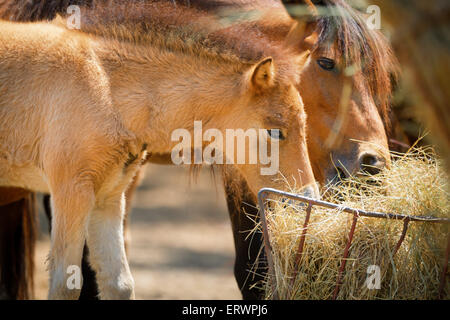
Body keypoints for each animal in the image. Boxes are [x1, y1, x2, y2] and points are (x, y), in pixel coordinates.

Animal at [0, 0, 396, 300]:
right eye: (326, 63)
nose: (372, 163)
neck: (104, 84)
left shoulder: (108, 196)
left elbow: (118, 283)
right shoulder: (70, 192)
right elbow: (67, 285)